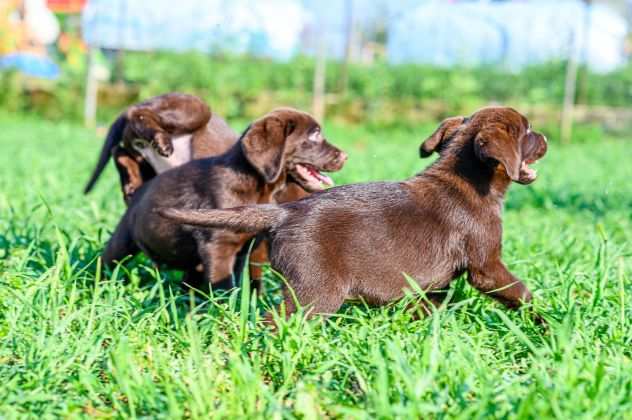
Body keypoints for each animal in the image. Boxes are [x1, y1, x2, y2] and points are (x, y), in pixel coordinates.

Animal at [102, 108, 346, 290]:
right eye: (314, 134)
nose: (345, 156)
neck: (255, 186)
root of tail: (139, 190)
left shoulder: (243, 250)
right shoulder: (218, 246)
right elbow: (225, 287)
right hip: (122, 242)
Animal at [162, 107, 548, 318]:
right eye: (528, 131)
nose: (544, 138)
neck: (468, 178)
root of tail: (284, 212)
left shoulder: (433, 284)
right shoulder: (486, 267)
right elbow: (521, 293)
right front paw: (549, 322)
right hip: (315, 291)